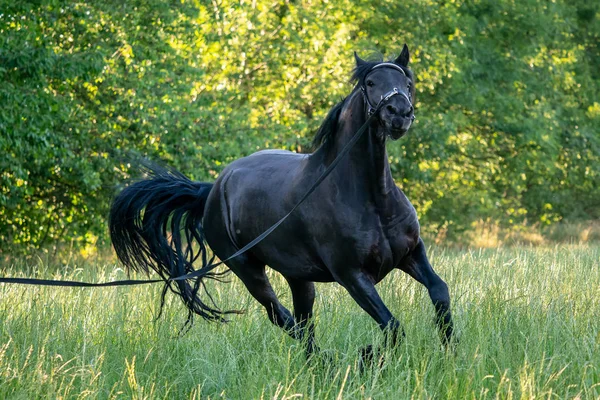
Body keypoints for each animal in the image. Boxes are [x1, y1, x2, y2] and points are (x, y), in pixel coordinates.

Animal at [109, 45, 454, 360]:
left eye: (407, 82)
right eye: (370, 83)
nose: (399, 113)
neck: (372, 199)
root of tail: (213, 189)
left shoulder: (411, 253)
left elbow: (439, 292)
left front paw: (449, 349)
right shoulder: (352, 275)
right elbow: (392, 326)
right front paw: (368, 355)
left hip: (299, 278)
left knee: (302, 321)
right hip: (248, 269)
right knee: (283, 317)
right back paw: (326, 360)